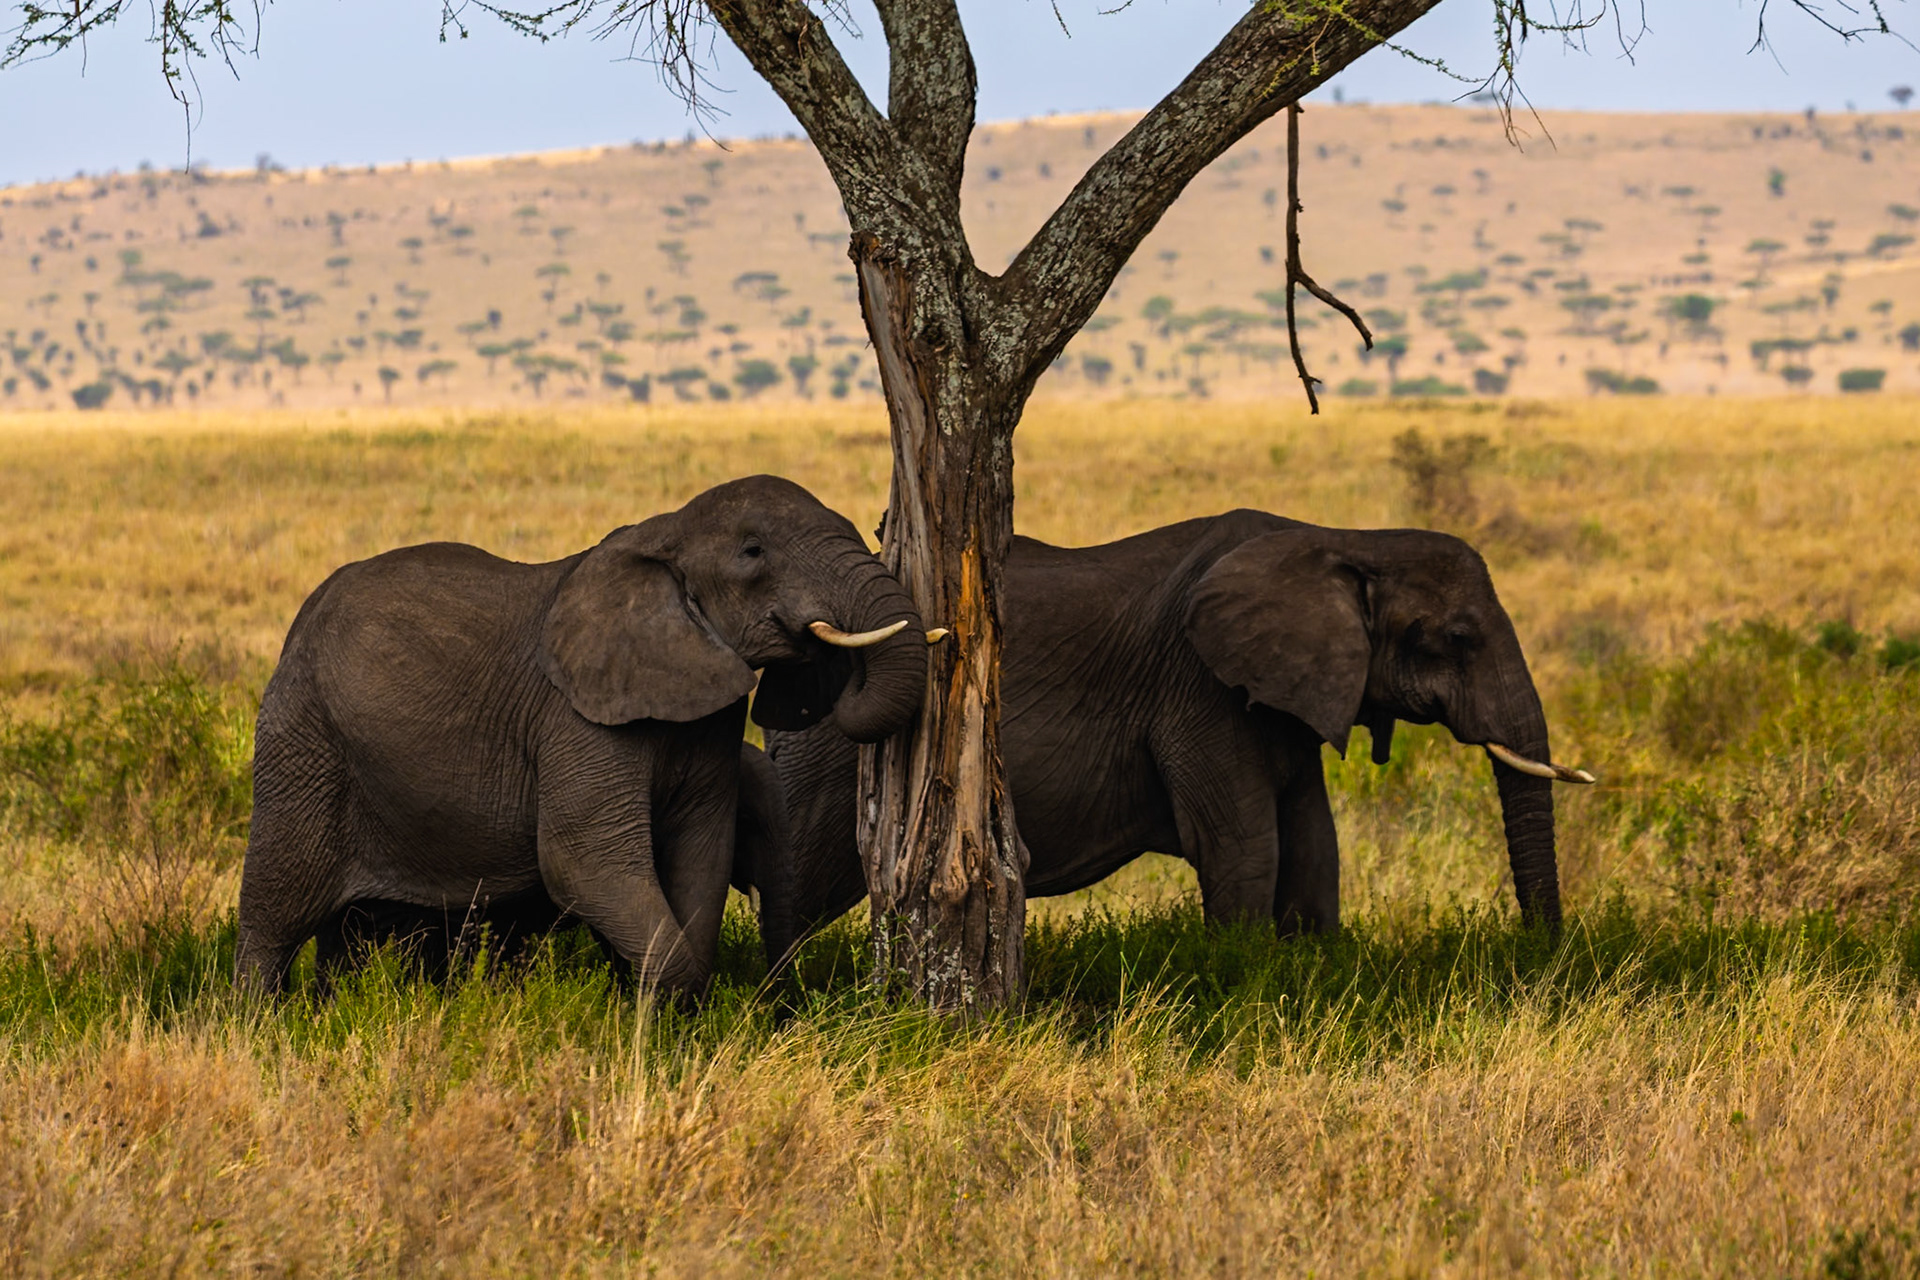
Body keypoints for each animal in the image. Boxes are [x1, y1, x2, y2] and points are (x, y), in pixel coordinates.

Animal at [235, 475, 925, 997]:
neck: (666, 530)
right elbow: (585, 862)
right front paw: (656, 1031)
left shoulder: (710, 721)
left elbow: (700, 856)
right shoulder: (575, 720)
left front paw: (662, 1025)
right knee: (276, 909)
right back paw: (260, 1027)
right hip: (303, 741)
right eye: (754, 552)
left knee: (353, 929)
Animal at [746, 511, 1591, 961]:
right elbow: (1247, 846)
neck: (1346, 538)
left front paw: (1311, 966)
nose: (1540, 957)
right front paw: (1246, 976)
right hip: (827, 757)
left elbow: (1314, 845)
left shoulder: (1284, 695)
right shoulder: (1199, 689)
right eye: (1455, 638)